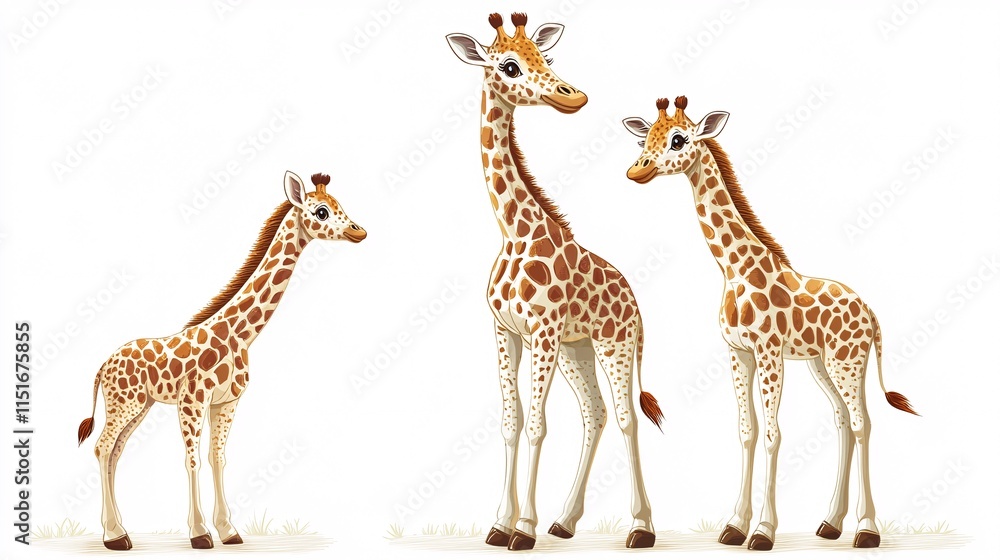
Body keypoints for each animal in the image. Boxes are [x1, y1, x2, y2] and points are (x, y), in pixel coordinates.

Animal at [76, 171, 366, 550]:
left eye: (338, 204)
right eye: (321, 211)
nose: (359, 231)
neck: (239, 336)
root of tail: (101, 367)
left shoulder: (226, 402)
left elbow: (218, 458)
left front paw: (228, 530)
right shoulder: (192, 401)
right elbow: (193, 459)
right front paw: (200, 534)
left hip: (139, 406)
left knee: (114, 452)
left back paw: (121, 531)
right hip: (124, 404)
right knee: (102, 448)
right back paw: (112, 536)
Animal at [446, 13, 664, 551]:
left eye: (546, 58)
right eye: (509, 64)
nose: (573, 95)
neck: (513, 231)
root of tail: (636, 303)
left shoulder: (541, 332)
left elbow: (538, 427)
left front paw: (522, 530)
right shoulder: (507, 331)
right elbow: (512, 422)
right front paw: (500, 525)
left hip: (613, 344)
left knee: (626, 417)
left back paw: (641, 528)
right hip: (576, 350)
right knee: (596, 414)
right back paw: (565, 521)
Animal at [622, 96, 918, 550]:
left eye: (678, 139)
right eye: (644, 139)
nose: (636, 170)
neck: (735, 270)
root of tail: (869, 311)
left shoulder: (769, 352)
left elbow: (774, 433)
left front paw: (763, 532)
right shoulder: (738, 353)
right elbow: (747, 430)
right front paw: (734, 526)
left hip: (848, 361)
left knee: (862, 422)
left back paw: (866, 530)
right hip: (821, 363)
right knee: (842, 421)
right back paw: (831, 523)